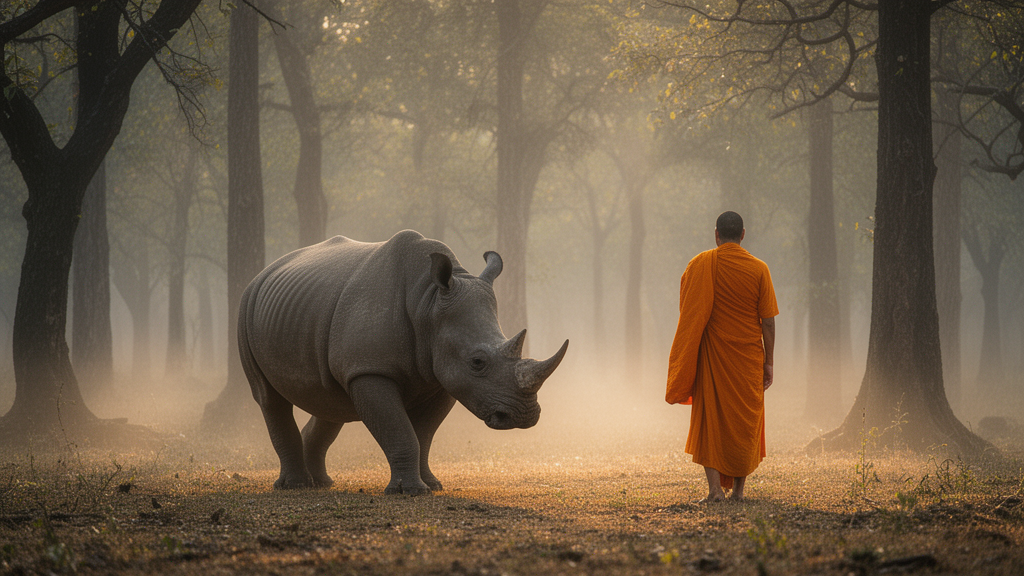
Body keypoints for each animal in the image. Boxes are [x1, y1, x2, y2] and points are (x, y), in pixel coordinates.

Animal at [239, 230, 569, 494]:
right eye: (477, 362)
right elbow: (399, 430)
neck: (428, 302)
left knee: (330, 399)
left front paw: (432, 485)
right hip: (245, 306)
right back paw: (295, 486)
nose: (524, 416)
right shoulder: (371, 370)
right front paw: (409, 491)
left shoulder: (442, 377)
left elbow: (424, 434)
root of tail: (265, 271)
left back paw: (321, 483)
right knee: (268, 398)